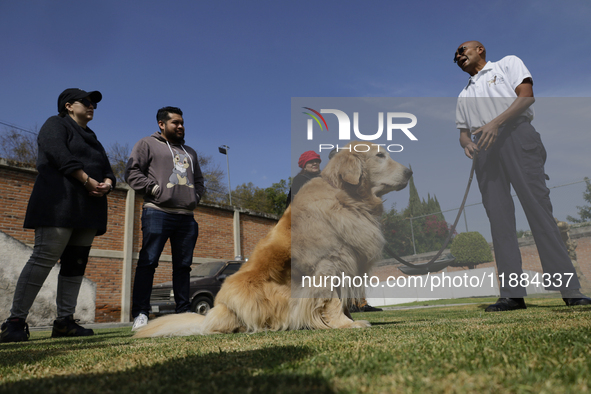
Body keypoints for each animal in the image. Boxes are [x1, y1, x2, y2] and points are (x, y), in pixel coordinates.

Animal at [135, 142, 412, 338]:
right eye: (380, 156)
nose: (410, 171)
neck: (347, 198)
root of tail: (211, 314)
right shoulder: (327, 265)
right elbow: (331, 300)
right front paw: (345, 324)